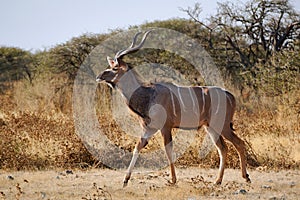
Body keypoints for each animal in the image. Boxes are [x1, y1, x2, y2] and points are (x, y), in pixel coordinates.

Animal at [96, 30, 251, 187]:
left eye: (115, 68)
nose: (99, 76)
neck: (148, 94)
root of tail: (230, 95)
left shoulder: (165, 127)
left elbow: (168, 150)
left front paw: (173, 180)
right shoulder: (149, 128)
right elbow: (138, 146)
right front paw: (125, 180)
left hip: (222, 126)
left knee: (239, 143)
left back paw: (245, 177)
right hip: (211, 128)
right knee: (223, 148)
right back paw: (218, 181)